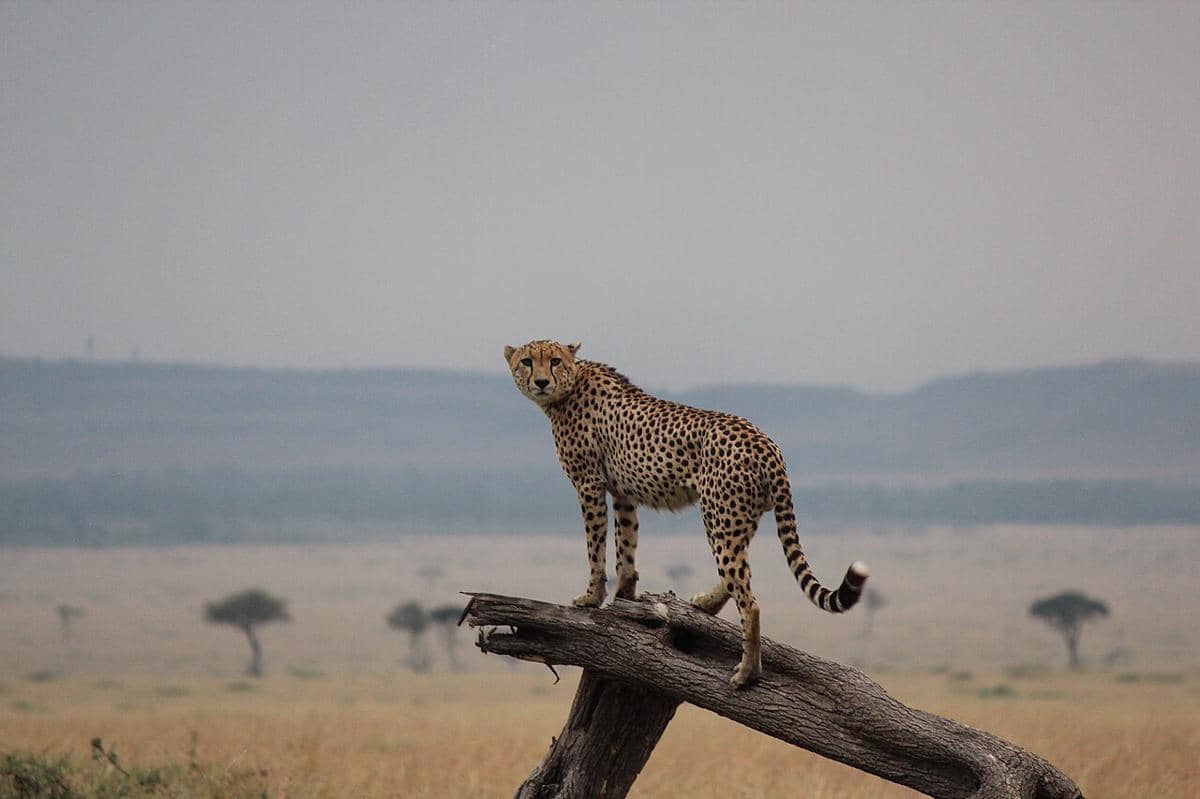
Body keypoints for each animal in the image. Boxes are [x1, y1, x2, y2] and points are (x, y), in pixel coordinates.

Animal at [504, 339, 869, 689]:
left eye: (554, 361)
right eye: (527, 361)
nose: (541, 382)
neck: (571, 383)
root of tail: (766, 443)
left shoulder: (589, 484)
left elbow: (595, 547)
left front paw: (591, 598)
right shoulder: (623, 492)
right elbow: (626, 545)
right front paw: (625, 596)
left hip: (720, 517)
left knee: (749, 601)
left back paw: (747, 673)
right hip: (738, 516)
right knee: (738, 575)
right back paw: (706, 604)